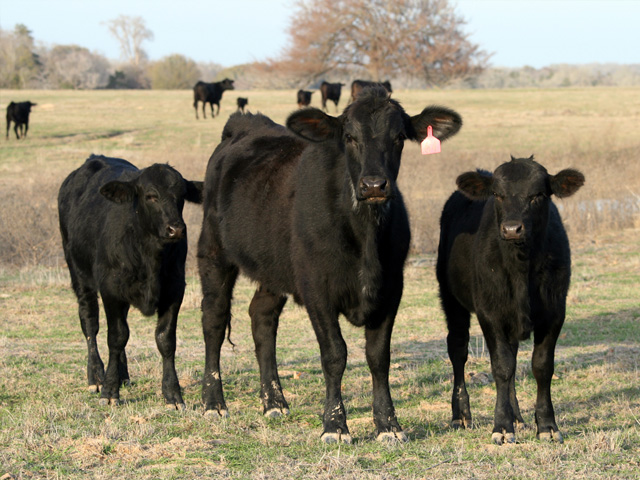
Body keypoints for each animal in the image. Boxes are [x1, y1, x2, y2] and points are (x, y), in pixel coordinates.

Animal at [58, 154, 203, 408]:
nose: (176, 229)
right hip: (80, 276)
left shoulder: (175, 290)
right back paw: (96, 376)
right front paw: (109, 391)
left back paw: (122, 375)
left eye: (181, 195)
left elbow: (165, 339)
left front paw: (173, 393)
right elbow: (116, 337)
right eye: (150, 195)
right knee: (90, 324)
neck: (151, 255)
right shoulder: (111, 289)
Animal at [197, 87, 462, 443]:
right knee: (214, 318)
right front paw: (335, 425)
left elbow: (379, 357)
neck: (364, 239)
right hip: (213, 250)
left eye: (398, 138)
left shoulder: (392, 288)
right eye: (349, 137)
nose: (374, 185)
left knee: (262, 317)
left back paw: (274, 402)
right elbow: (335, 354)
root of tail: (244, 123)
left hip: (274, 265)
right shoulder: (317, 290)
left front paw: (389, 425)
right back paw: (214, 403)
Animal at [436, 156, 584, 445]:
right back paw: (461, 415)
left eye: (538, 195)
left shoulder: (554, 312)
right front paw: (502, 427)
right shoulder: (490, 312)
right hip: (451, 300)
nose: (512, 229)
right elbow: (502, 367)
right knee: (458, 351)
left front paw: (547, 426)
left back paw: (517, 416)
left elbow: (541, 366)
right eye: (497, 194)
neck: (521, 268)